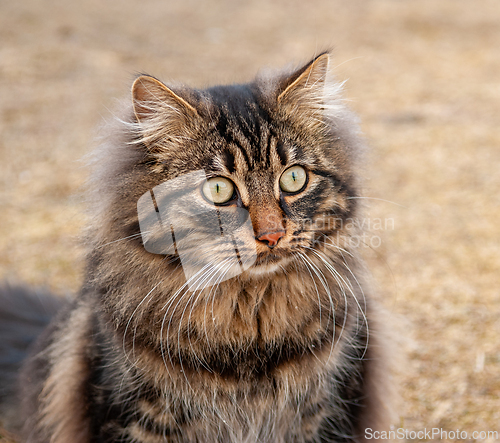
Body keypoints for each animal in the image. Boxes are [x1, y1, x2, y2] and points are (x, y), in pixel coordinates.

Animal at [0, 53, 394, 443]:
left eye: (294, 179)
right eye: (218, 190)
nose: (271, 235)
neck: (247, 319)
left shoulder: (325, 410)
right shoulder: (131, 415)